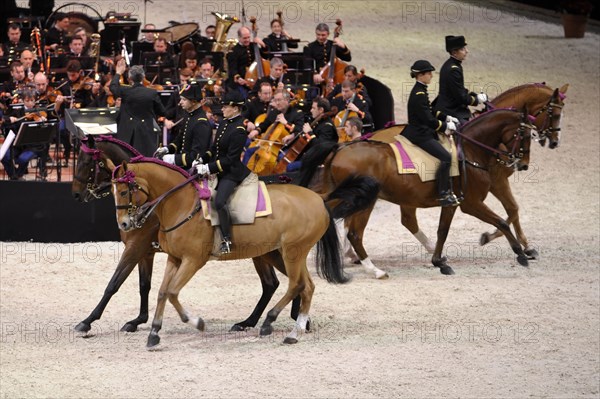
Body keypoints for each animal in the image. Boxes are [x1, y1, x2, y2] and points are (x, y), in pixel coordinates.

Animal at [110, 156, 378, 346]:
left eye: (123, 191)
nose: (123, 225)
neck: (181, 204)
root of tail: (319, 199)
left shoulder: (193, 260)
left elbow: (173, 292)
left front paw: (196, 323)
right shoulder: (175, 259)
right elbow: (163, 293)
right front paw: (154, 332)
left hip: (292, 251)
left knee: (295, 285)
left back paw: (270, 321)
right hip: (290, 253)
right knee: (306, 286)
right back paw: (295, 331)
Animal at [304, 108, 536, 276]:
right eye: (525, 134)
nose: (523, 164)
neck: (470, 152)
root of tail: (340, 148)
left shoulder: (452, 203)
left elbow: (442, 230)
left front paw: (439, 261)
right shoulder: (471, 203)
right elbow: (502, 222)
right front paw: (520, 253)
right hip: (363, 200)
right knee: (353, 232)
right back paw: (374, 270)